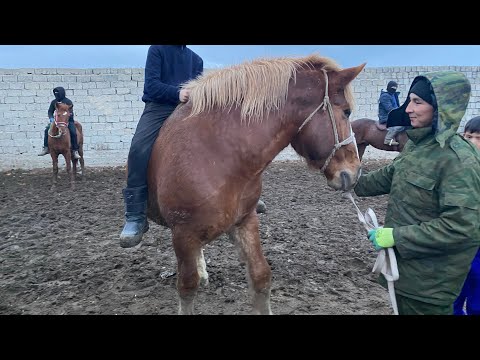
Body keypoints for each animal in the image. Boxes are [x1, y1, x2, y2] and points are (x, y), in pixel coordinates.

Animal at [148, 54, 366, 314]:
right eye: (347, 112)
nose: (355, 172)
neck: (216, 154)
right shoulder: (184, 234)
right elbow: (187, 287)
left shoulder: (245, 221)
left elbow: (261, 277)